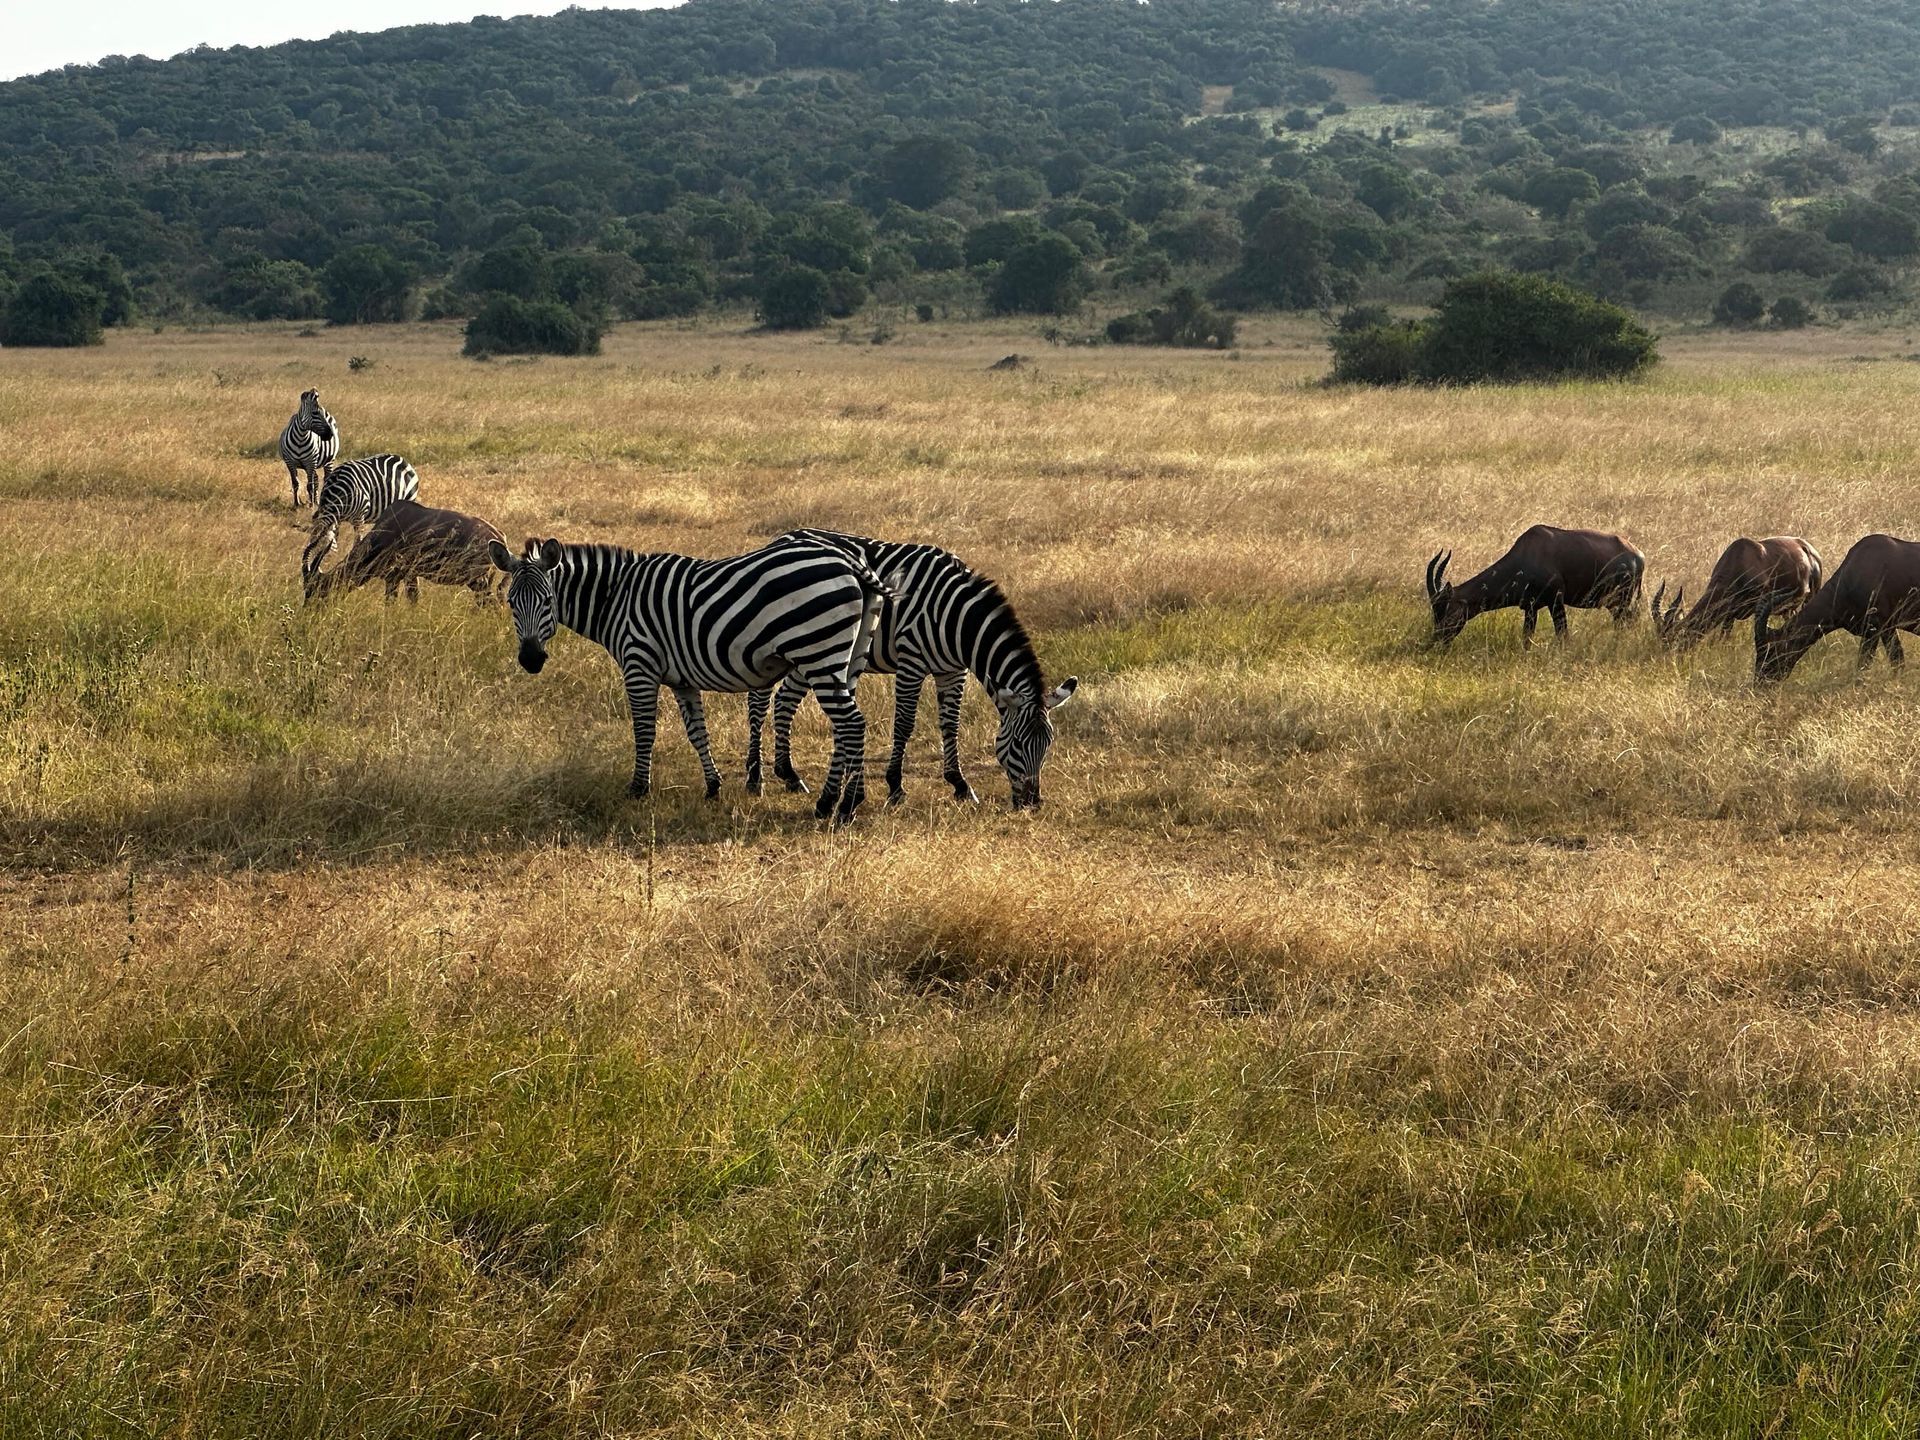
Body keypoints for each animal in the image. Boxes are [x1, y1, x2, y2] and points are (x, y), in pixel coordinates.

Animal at [304, 500, 506, 606]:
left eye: (316, 588)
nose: (308, 611)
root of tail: (498, 537)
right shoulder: (410, 576)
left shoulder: (393, 578)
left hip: (477, 581)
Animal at [488, 535, 888, 824]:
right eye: (510, 603)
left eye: (547, 600)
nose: (530, 660)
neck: (616, 598)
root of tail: (848, 560)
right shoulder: (681, 679)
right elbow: (697, 732)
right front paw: (713, 787)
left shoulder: (639, 664)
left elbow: (644, 731)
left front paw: (638, 789)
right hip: (847, 659)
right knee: (847, 726)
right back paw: (833, 802)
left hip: (819, 653)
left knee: (851, 725)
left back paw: (843, 806)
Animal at [746, 530, 1076, 810]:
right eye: (1018, 744)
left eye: (1048, 744)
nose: (1031, 804)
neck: (958, 622)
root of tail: (783, 537)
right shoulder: (912, 662)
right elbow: (904, 724)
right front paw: (895, 787)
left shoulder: (952, 671)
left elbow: (951, 725)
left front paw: (960, 784)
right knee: (759, 702)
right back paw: (754, 779)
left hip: (812, 652)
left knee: (785, 699)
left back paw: (789, 775)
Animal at [1425, 525, 1644, 647]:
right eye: (1435, 611)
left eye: (1446, 609)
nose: (1437, 642)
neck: (1527, 554)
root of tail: (1638, 555)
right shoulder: (1530, 607)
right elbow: (1526, 638)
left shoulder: (1556, 601)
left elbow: (1562, 635)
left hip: (1621, 601)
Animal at [1651, 536, 1824, 646]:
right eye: (1660, 637)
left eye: (1674, 639)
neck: (1740, 558)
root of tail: (1808, 548)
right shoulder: (1730, 614)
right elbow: (1724, 636)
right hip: (1787, 609)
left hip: (1812, 595)